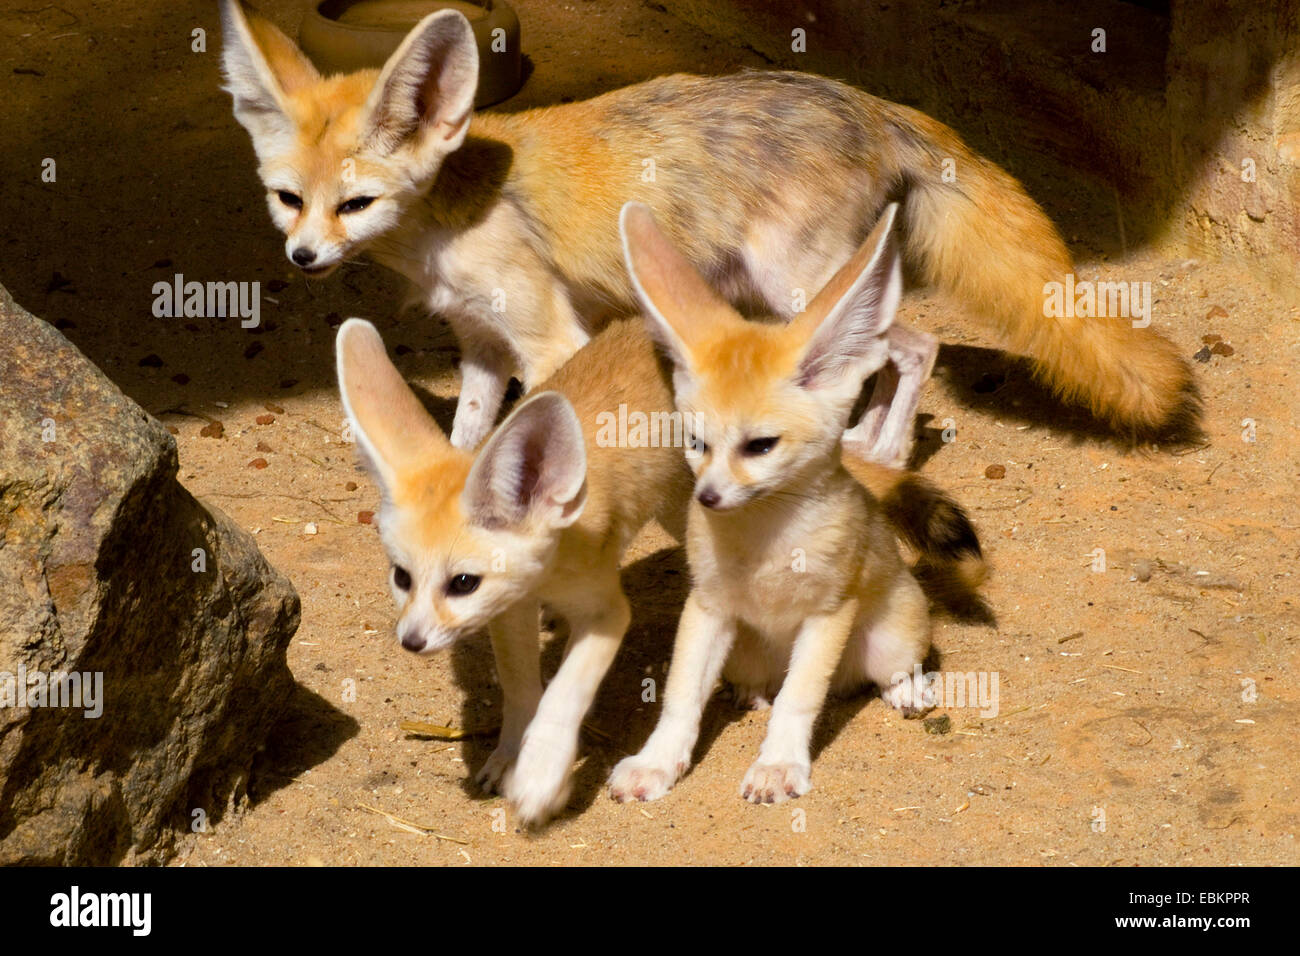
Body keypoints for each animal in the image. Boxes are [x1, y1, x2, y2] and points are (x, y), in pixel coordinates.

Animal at [220, 0, 1196, 463]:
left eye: (354, 204)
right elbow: (466, 435)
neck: (449, 216)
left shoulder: (549, 338)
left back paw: (881, 447)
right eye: (286, 199)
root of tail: (870, 102)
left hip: (794, 287)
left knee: (914, 349)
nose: (303, 257)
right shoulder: (480, 345)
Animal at [340, 317, 696, 827]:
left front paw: (540, 772)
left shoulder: (607, 612)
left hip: (682, 513)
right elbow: (520, 686)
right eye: (401, 577)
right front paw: (512, 755)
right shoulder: (510, 608)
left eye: (462, 583)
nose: (411, 641)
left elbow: (564, 692)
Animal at [608, 204, 946, 806]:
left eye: (760, 446)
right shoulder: (708, 607)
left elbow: (799, 699)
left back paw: (907, 690)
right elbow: (679, 698)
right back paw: (749, 694)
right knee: (759, 683)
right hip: (747, 650)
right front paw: (656, 763)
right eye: (694, 442)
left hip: (888, 636)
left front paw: (778, 765)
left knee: (886, 672)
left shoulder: (828, 613)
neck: (766, 541)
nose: (707, 497)